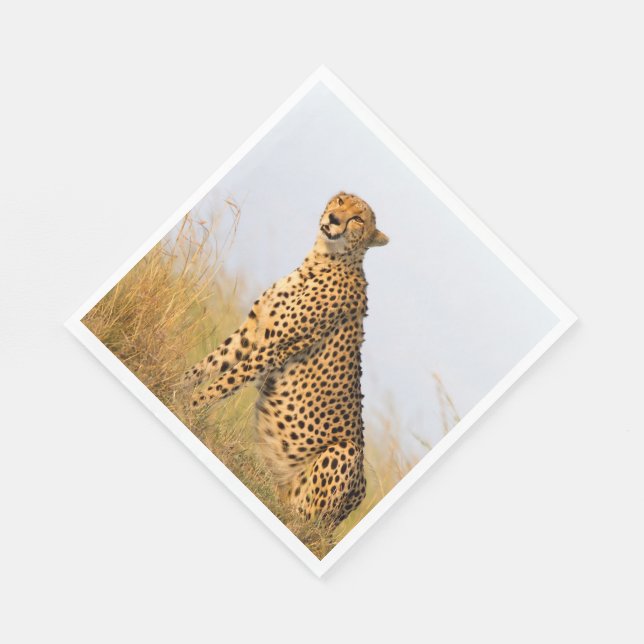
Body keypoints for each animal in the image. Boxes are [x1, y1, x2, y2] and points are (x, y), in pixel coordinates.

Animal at [183, 192, 389, 527]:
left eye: (359, 218)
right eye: (341, 201)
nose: (334, 219)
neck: (321, 260)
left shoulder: (272, 349)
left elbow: (222, 383)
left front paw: (189, 406)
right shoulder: (250, 333)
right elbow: (207, 366)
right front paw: (172, 388)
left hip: (343, 455)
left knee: (301, 520)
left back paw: (287, 510)